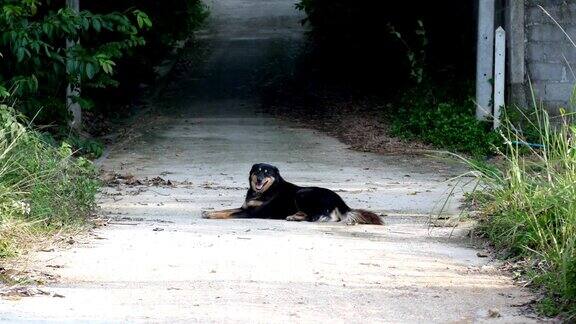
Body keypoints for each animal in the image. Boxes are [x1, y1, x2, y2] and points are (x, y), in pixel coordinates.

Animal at [202, 163, 382, 224]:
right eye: (257, 171)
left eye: (267, 172)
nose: (259, 179)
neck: (264, 191)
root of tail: (340, 200)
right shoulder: (245, 208)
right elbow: (226, 210)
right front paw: (209, 212)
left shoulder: (252, 213)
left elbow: (228, 214)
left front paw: (212, 215)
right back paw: (295, 216)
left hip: (302, 193)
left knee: (323, 216)